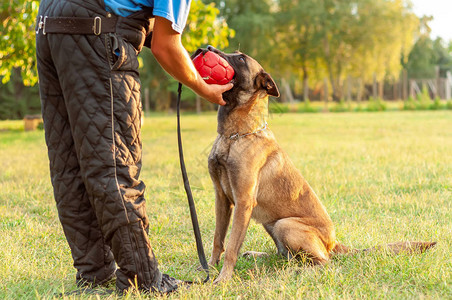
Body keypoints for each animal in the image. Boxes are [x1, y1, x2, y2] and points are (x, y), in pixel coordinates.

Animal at [203, 45, 436, 282]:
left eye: (241, 58)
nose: (208, 48)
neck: (235, 136)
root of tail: (333, 243)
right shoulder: (222, 199)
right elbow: (218, 240)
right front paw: (208, 268)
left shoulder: (243, 202)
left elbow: (232, 246)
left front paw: (223, 279)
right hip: (272, 224)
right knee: (285, 255)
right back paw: (259, 255)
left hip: (285, 224)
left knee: (323, 263)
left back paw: (296, 271)